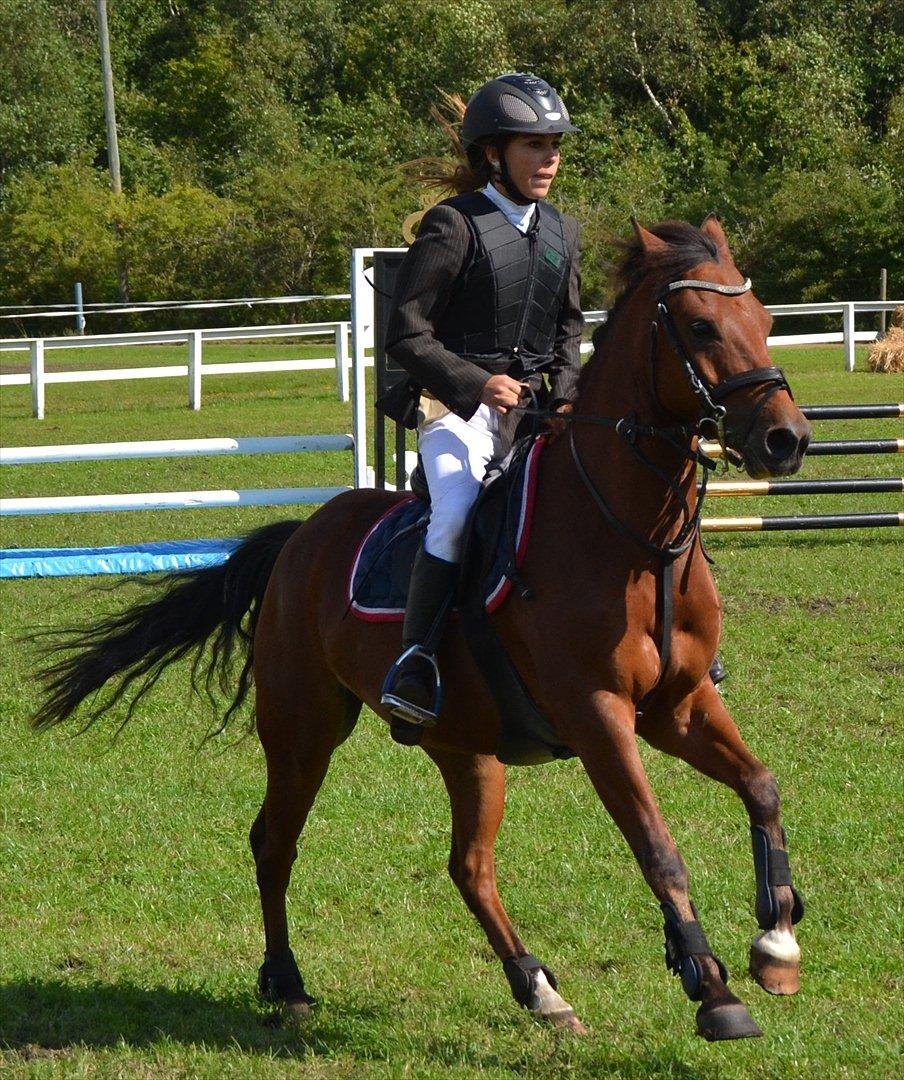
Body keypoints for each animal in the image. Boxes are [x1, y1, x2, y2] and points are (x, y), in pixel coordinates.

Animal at [32, 217, 811, 1042]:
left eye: (764, 320)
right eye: (700, 326)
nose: (787, 440)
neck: (634, 538)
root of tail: (302, 537)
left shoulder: (679, 705)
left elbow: (761, 786)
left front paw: (776, 944)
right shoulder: (599, 716)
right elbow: (659, 847)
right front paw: (712, 988)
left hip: (466, 745)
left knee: (468, 866)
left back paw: (538, 987)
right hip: (304, 726)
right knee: (275, 841)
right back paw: (287, 981)